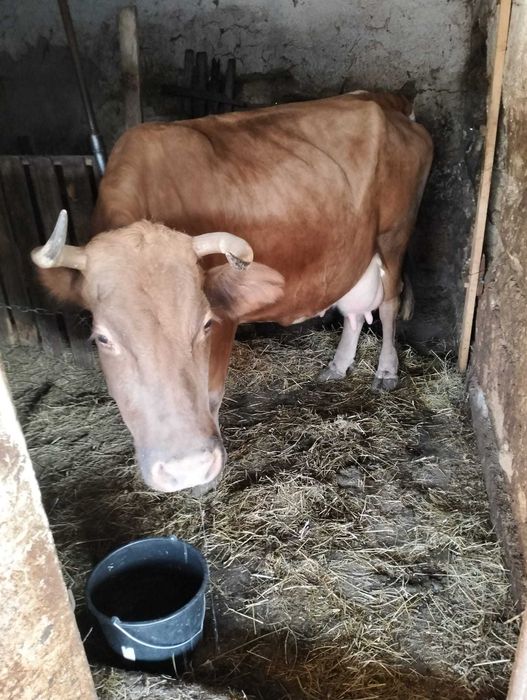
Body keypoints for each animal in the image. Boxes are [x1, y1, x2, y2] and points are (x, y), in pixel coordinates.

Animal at [31, 91, 433, 494]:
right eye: (102, 338)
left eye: (205, 324)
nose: (185, 468)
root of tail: (385, 101)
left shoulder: (226, 317)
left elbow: (210, 395)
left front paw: (205, 480)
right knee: (353, 313)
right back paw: (337, 365)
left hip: (394, 237)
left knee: (389, 305)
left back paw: (386, 371)